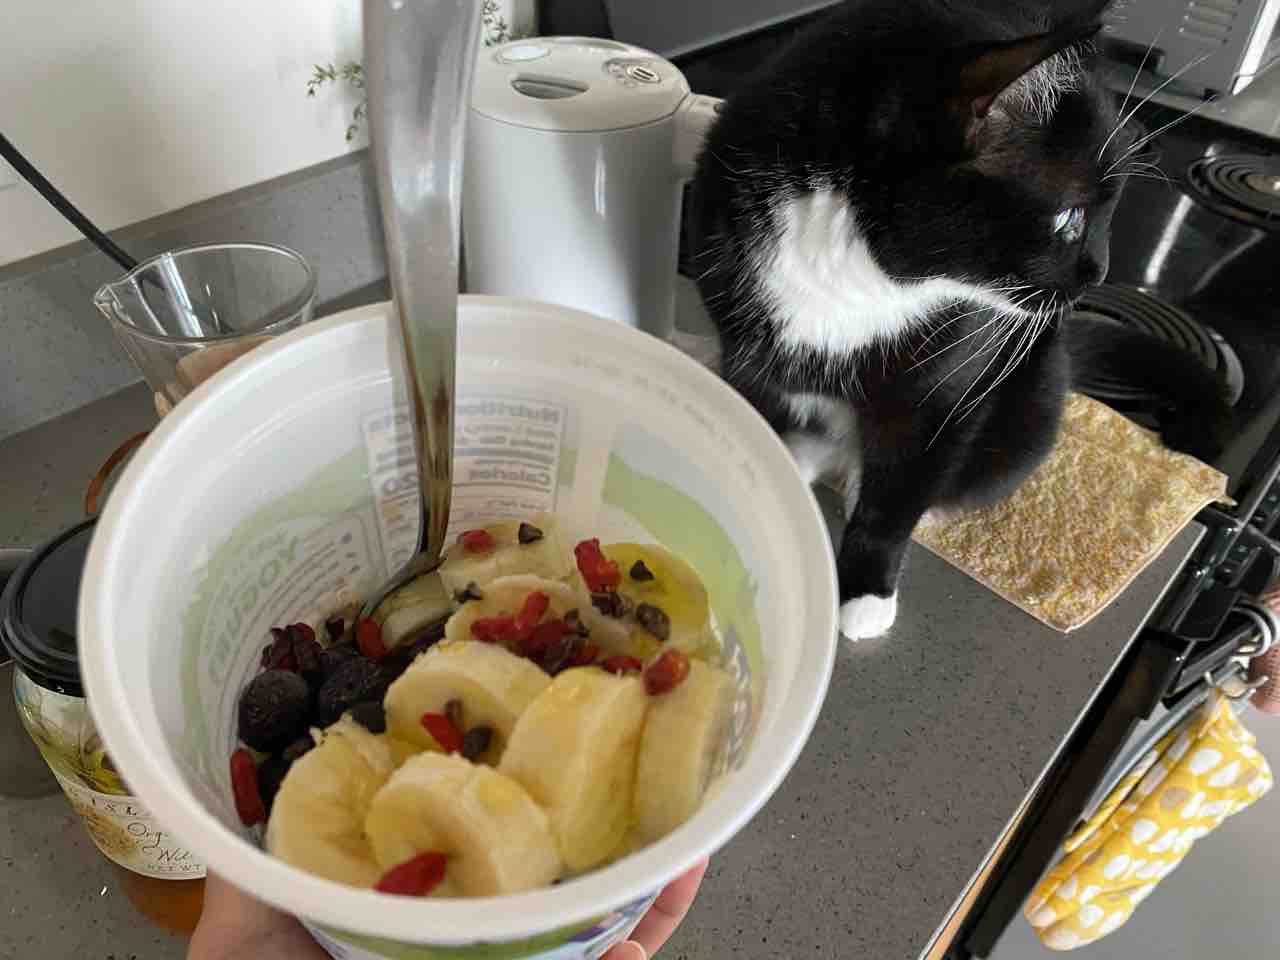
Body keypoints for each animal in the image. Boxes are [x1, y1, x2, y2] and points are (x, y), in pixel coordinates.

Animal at [690, 0, 1231, 640]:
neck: (853, 265)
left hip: (1029, 407)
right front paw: (766, 477)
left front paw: (866, 588)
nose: (1100, 273)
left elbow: (899, 492)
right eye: (1070, 218)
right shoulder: (743, 330)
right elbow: (758, 409)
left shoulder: (950, 378)